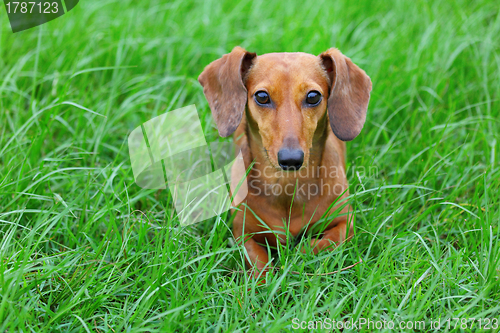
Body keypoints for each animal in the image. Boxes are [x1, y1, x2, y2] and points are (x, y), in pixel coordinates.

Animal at [198, 46, 372, 278]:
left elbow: (321, 243)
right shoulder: (242, 233)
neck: (286, 187)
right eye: (262, 96)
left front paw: (297, 256)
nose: (291, 159)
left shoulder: (346, 222)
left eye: (313, 96)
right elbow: (258, 262)